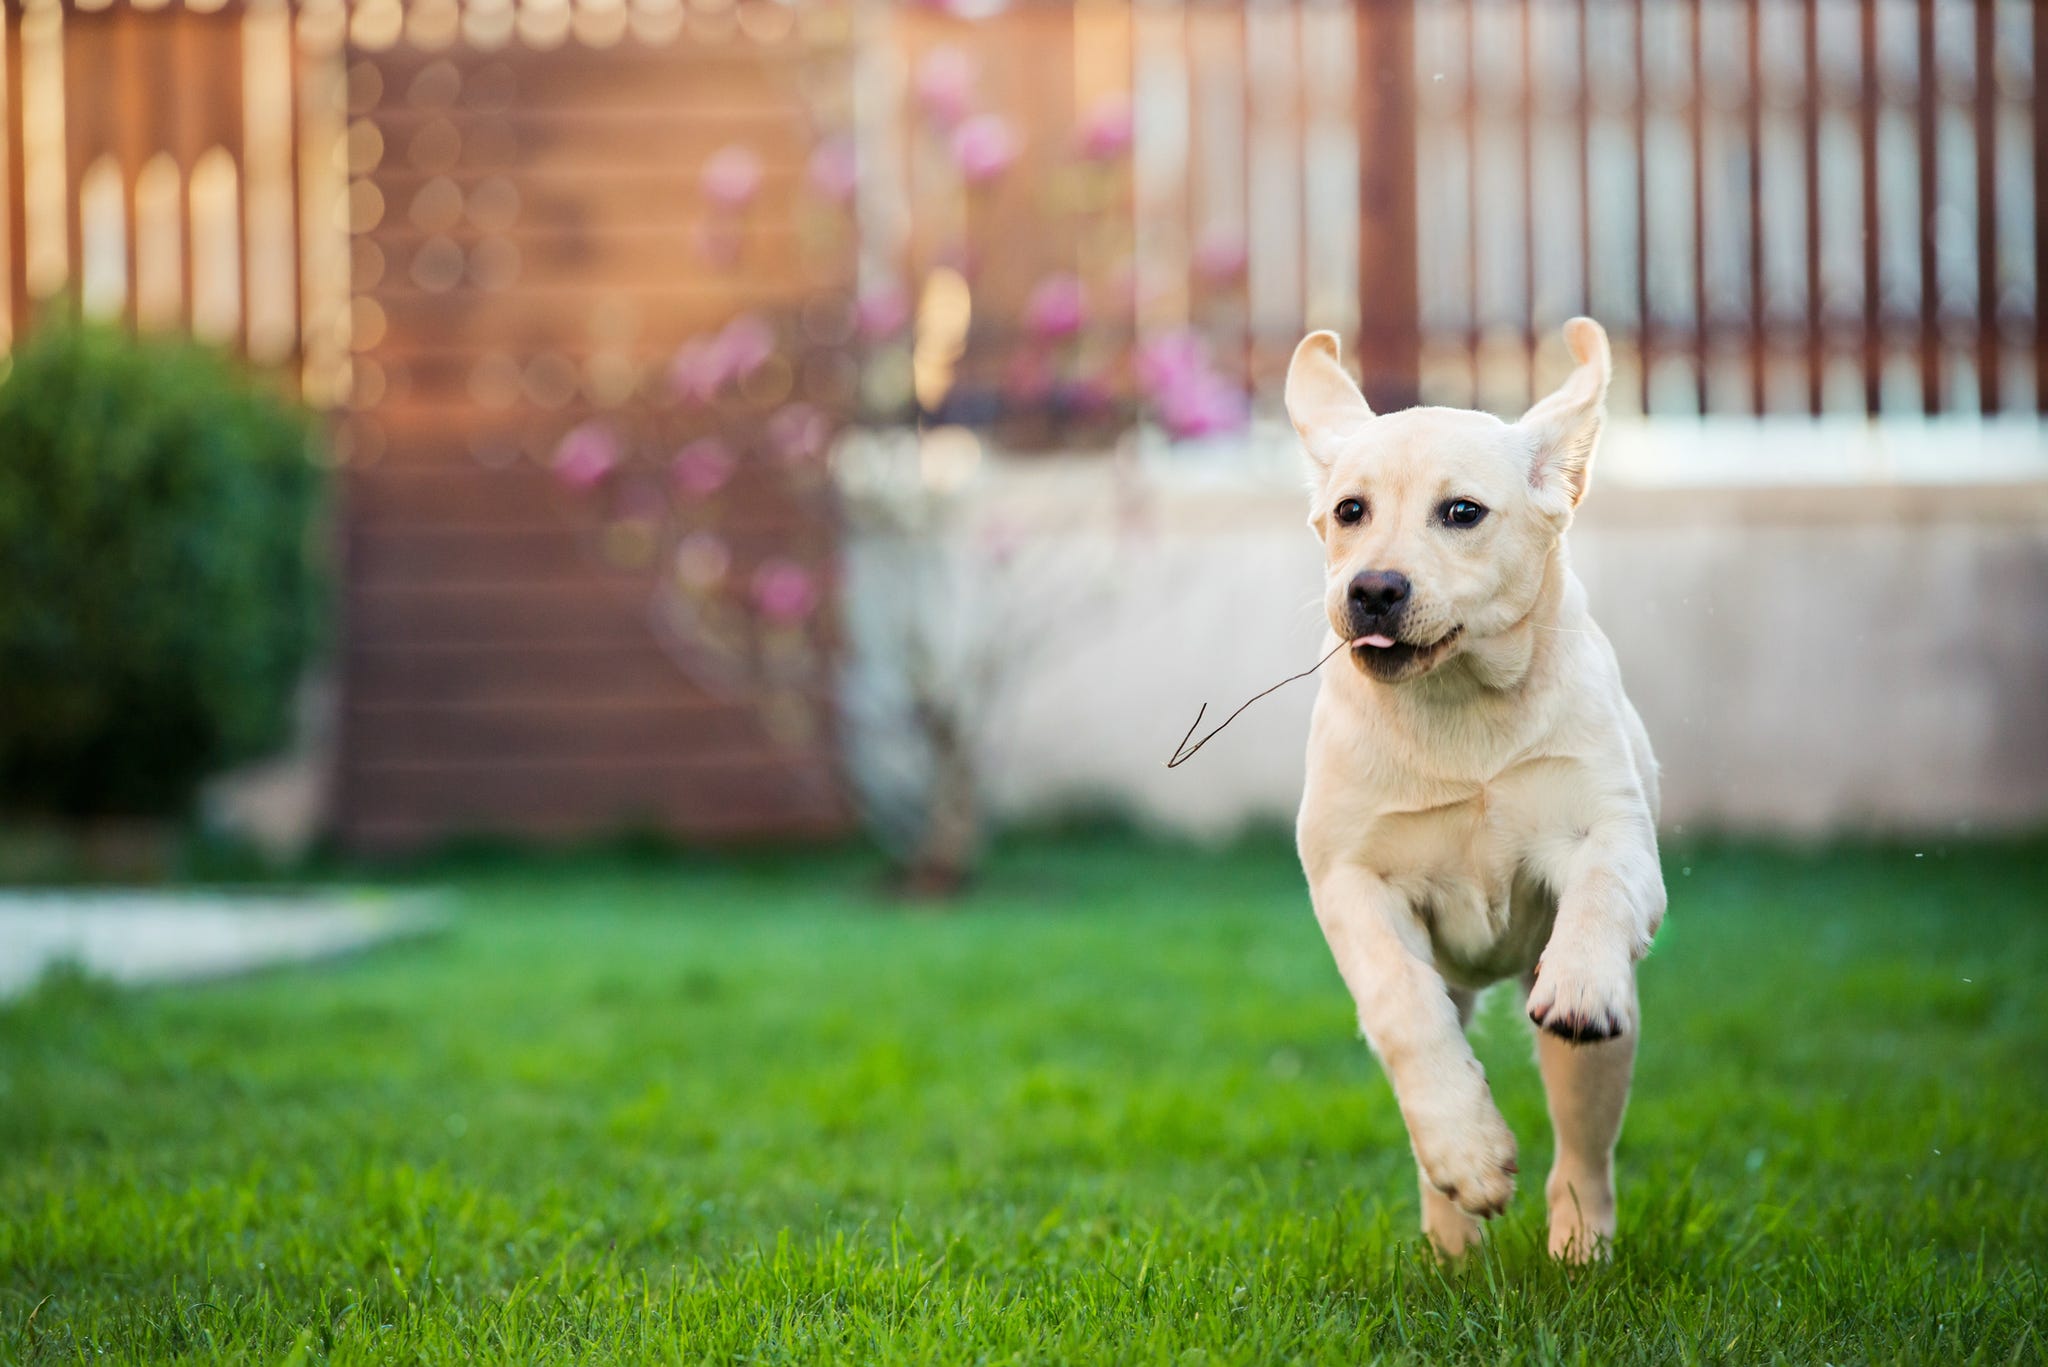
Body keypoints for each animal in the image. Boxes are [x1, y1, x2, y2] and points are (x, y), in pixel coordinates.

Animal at [1294, 321, 1662, 1262]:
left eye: (1461, 512)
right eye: (1350, 512)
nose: (1372, 589)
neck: (1457, 704)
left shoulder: (1612, 832)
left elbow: (1601, 889)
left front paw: (1581, 980)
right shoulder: (1350, 880)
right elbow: (1402, 1005)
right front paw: (1470, 1154)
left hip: (1599, 1057)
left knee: (1584, 1148)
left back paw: (1580, 1249)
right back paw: (1452, 1233)